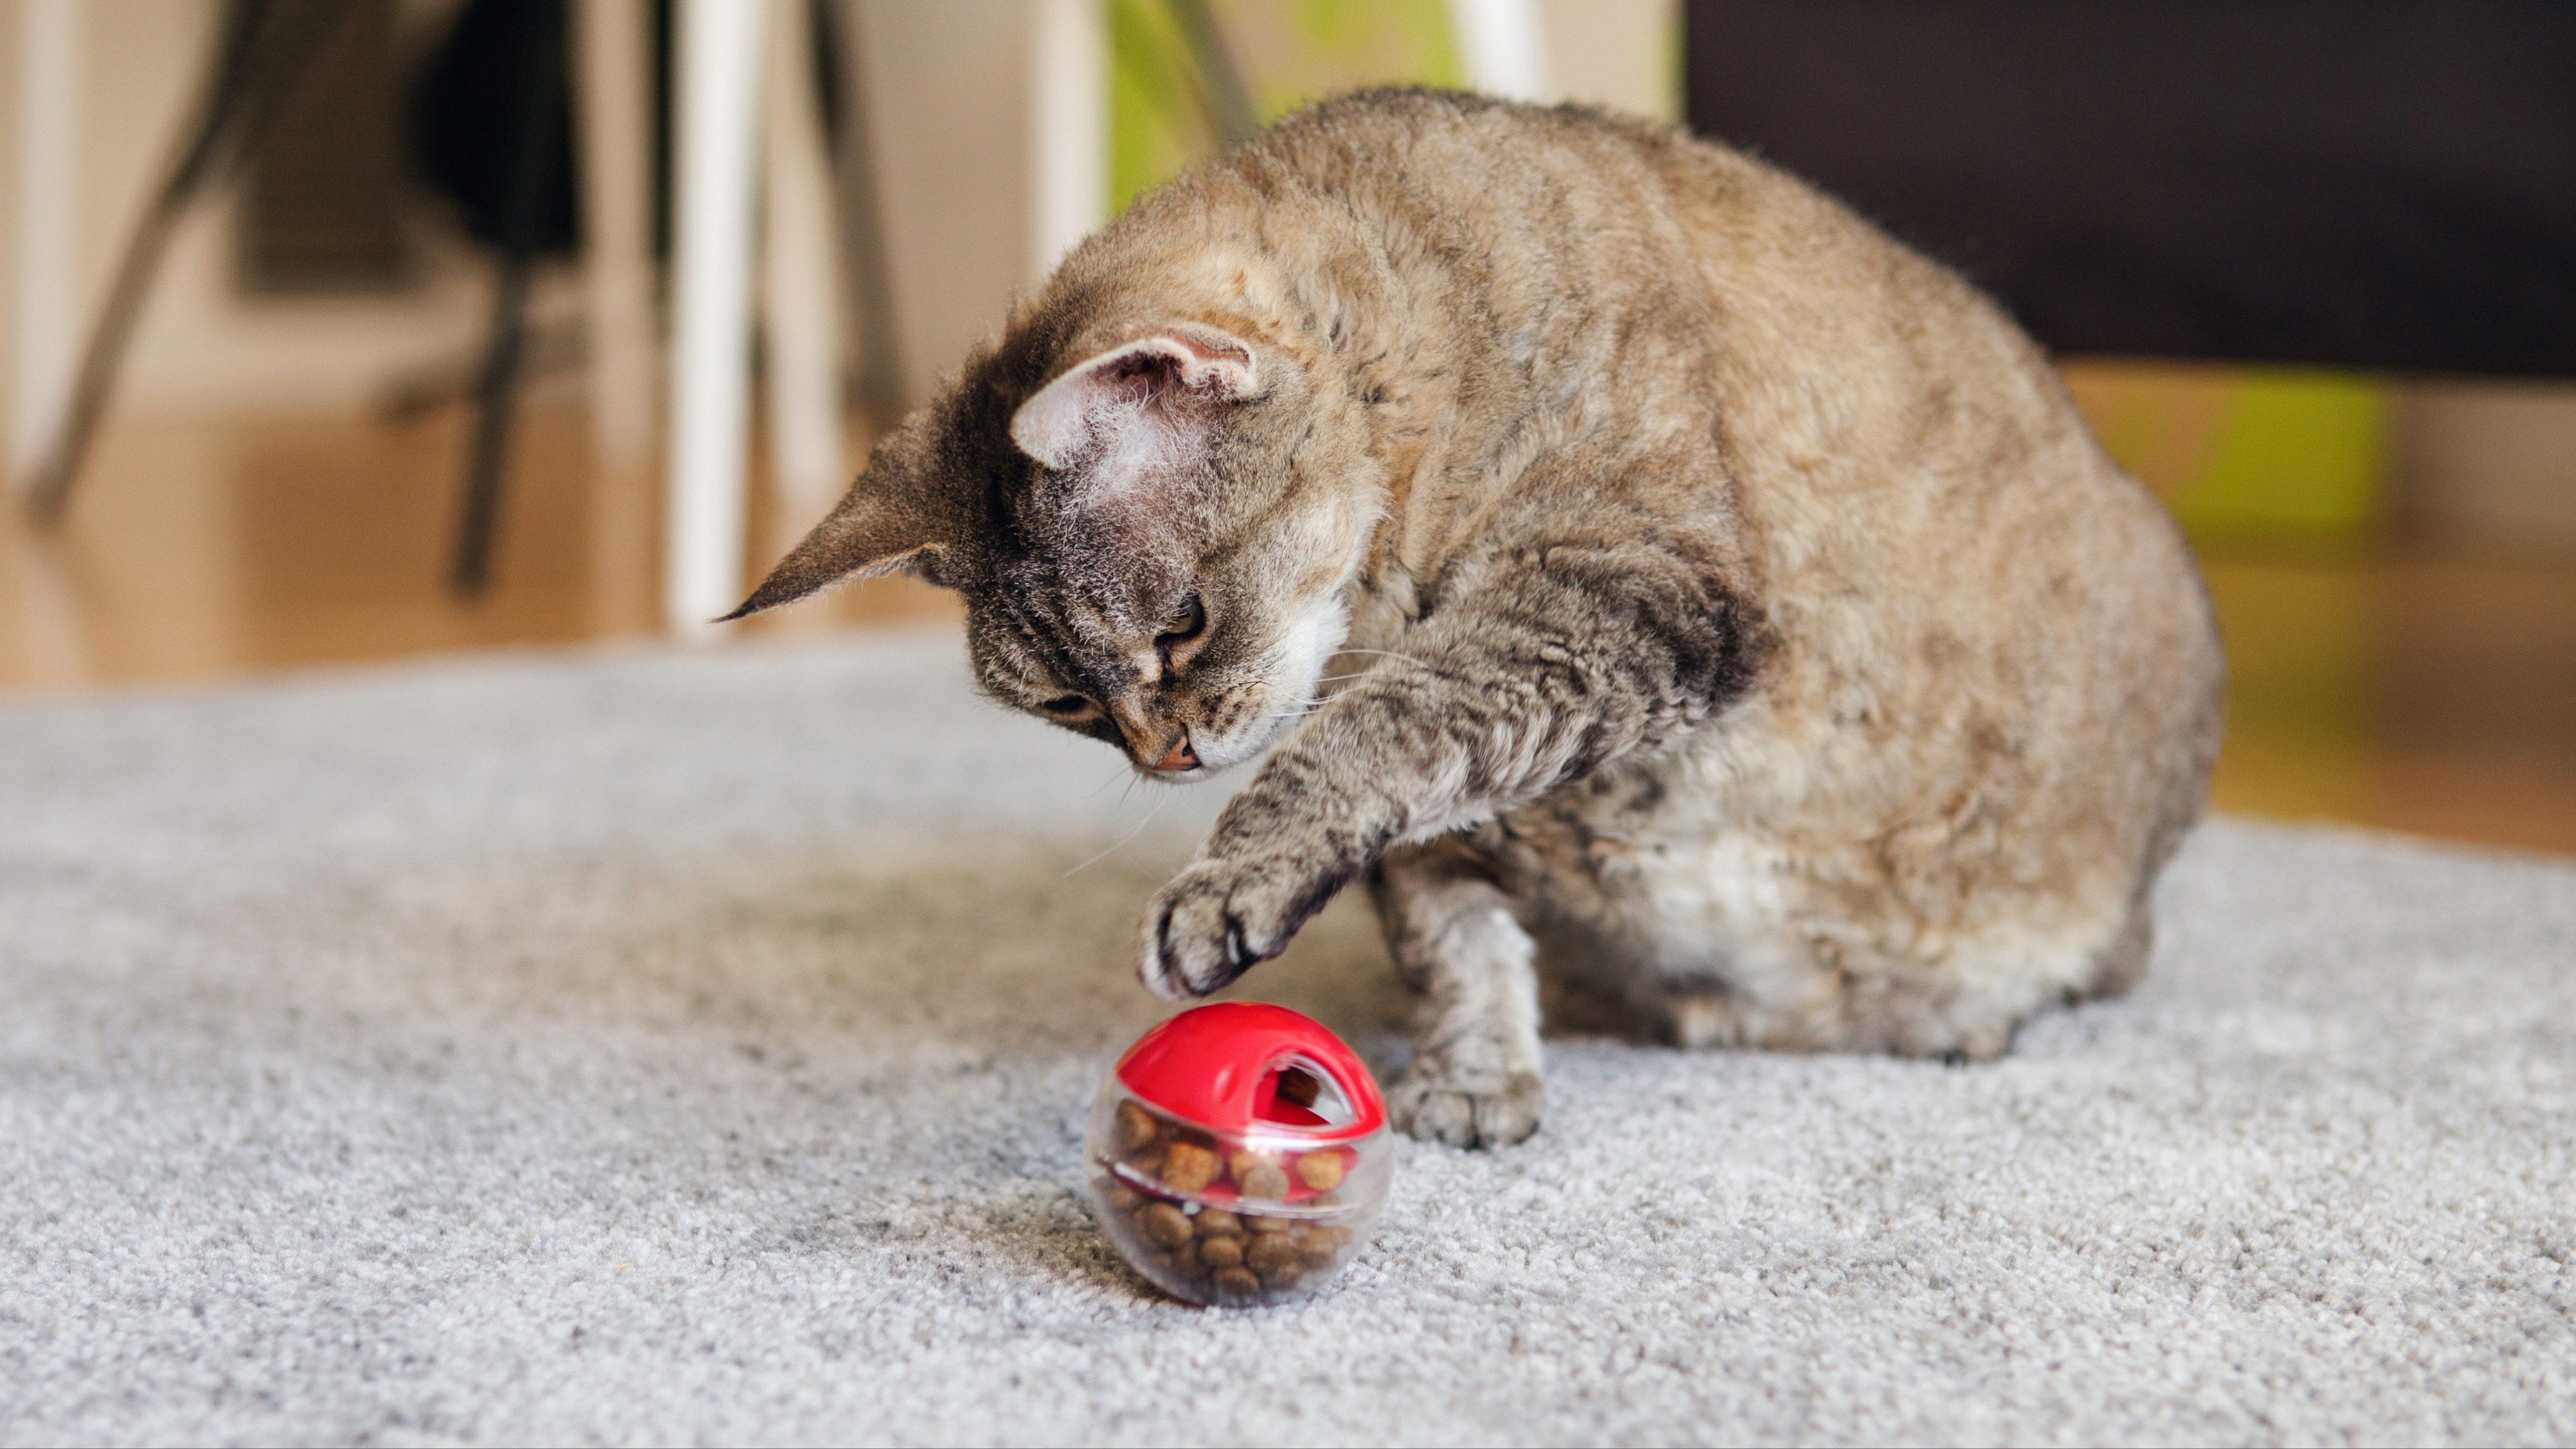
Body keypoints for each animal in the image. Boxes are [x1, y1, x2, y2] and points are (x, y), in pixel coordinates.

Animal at [731, 93, 2236, 1148]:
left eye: (1180, 628)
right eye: (1064, 704)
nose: (1164, 756)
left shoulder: (1621, 591)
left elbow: (1371, 738)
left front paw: (1227, 882)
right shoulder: (1456, 798)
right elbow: (1444, 921)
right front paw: (1475, 1075)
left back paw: (1953, 1015)